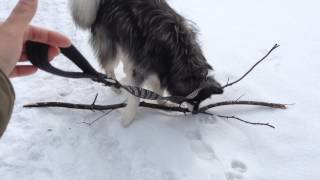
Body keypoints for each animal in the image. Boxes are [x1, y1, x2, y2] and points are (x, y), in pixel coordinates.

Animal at [69, 0, 224, 126]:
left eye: (201, 100)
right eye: (193, 101)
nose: (195, 112)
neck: (179, 52)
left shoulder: (159, 68)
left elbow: (158, 88)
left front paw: (163, 102)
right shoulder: (145, 67)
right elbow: (136, 96)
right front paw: (127, 119)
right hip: (112, 40)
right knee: (109, 65)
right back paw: (115, 85)